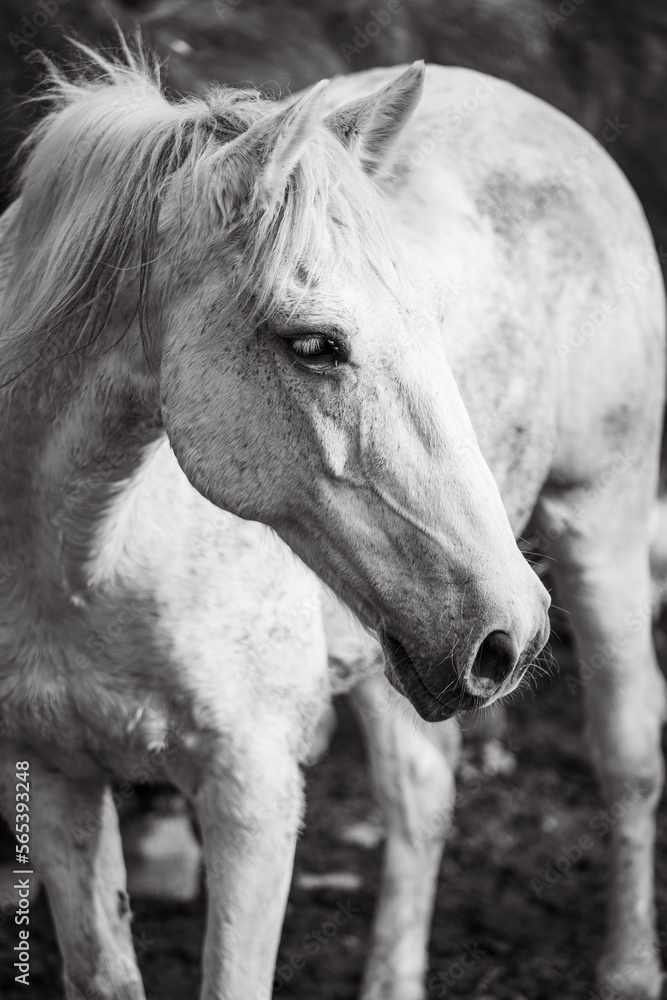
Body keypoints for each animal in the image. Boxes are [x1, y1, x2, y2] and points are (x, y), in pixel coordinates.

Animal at [0, 37, 659, 1000]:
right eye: (314, 344)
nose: (514, 630)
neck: (79, 561)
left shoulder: (252, 788)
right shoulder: (52, 772)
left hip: (596, 525)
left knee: (628, 754)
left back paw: (629, 968)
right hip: (408, 633)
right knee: (421, 794)